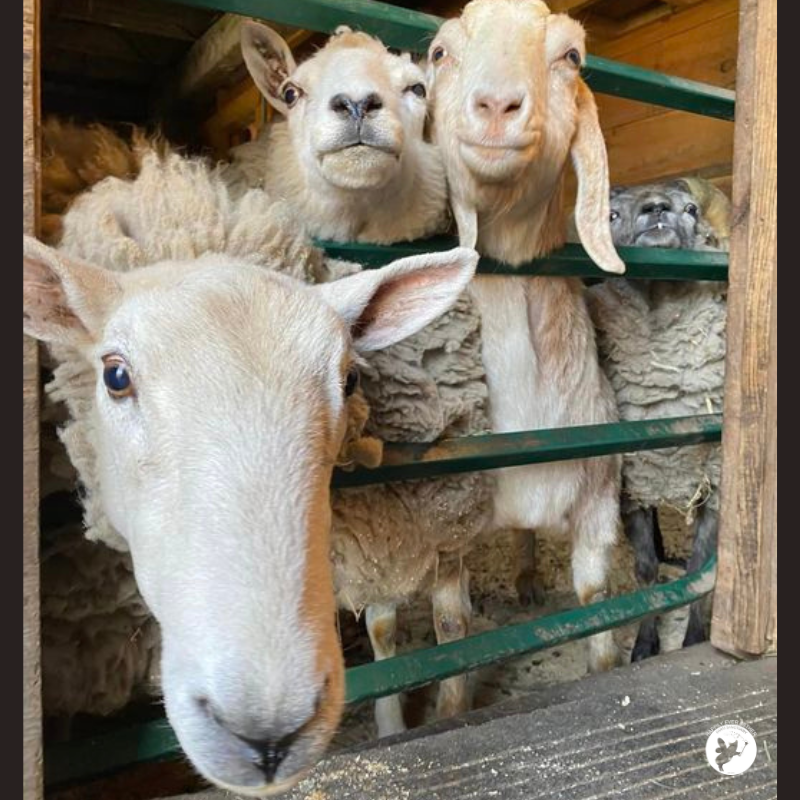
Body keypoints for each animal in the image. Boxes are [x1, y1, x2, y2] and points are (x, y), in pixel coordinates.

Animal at [428, 0, 628, 676]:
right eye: (439, 52)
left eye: (571, 56)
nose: (496, 104)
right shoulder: (443, 536)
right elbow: (453, 630)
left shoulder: (599, 504)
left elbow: (595, 602)